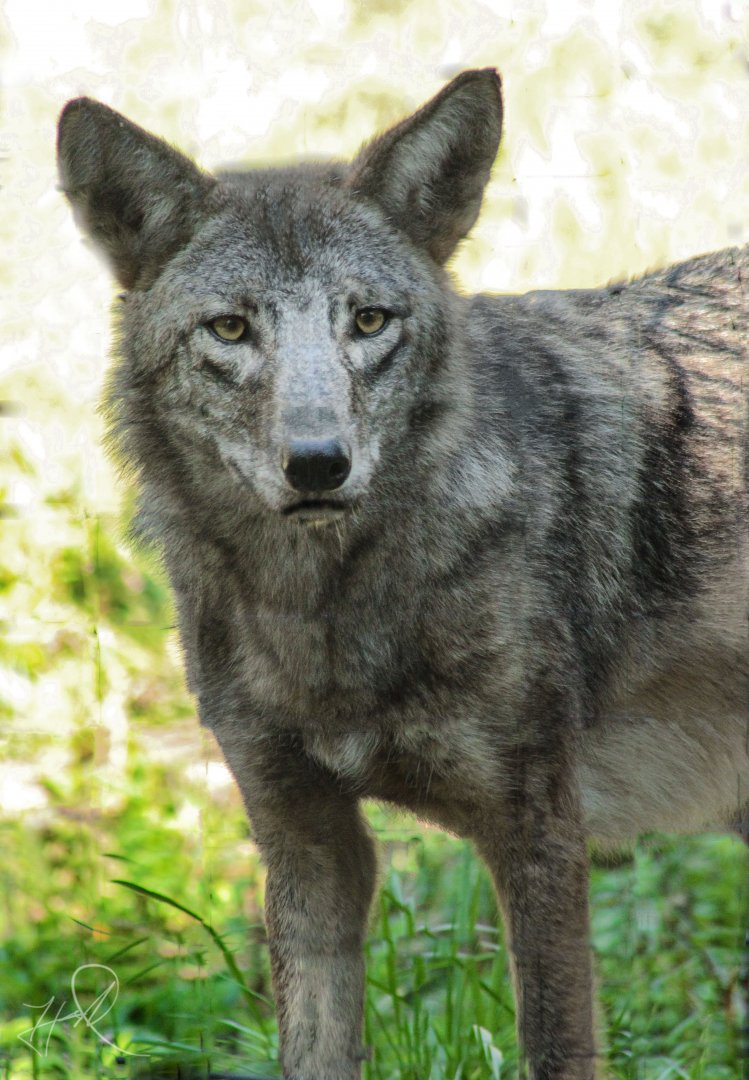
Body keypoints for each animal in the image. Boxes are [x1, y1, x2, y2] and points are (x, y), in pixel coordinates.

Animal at [57, 69, 748, 1079]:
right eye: (230, 328)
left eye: (368, 320)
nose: (317, 465)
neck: (320, 616)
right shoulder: (305, 845)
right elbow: (309, 1051)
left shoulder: (540, 834)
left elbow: (556, 1048)